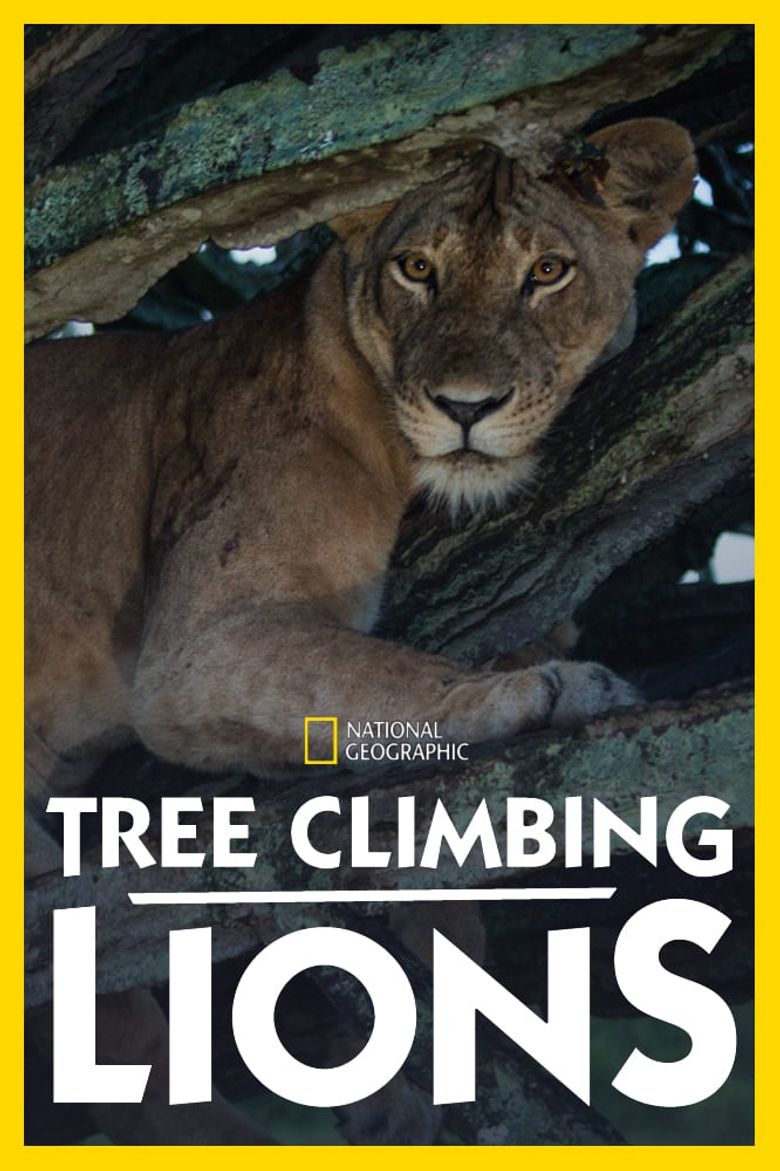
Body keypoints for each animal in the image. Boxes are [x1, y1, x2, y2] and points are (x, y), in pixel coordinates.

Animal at [25, 118, 696, 1144]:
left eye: (547, 271)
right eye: (417, 268)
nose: (467, 407)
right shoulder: (199, 648)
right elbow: (384, 672)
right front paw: (546, 692)